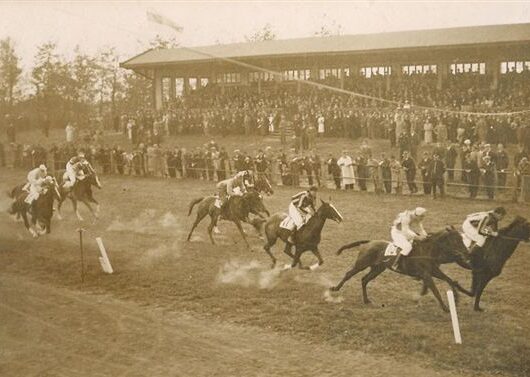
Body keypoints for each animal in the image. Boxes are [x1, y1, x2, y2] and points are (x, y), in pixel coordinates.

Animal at [330, 228, 466, 312]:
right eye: (456, 240)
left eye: (461, 239)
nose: (465, 252)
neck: (428, 250)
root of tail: (370, 242)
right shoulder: (426, 274)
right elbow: (435, 290)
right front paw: (445, 307)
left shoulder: (433, 271)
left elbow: (449, 280)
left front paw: (456, 298)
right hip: (361, 264)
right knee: (349, 274)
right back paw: (335, 288)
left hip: (378, 269)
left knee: (364, 279)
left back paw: (366, 300)